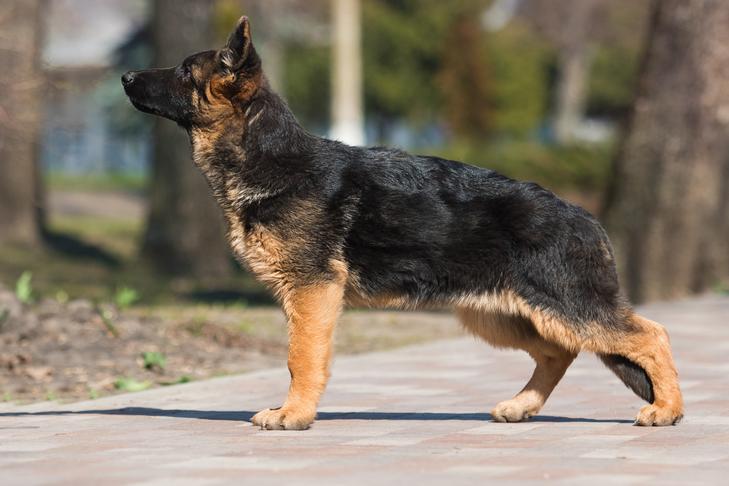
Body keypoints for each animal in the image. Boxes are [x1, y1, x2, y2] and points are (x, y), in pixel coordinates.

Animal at [122, 17, 684, 430]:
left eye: (184, 71)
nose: (125, 77)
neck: (269, 158)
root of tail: (587, 216)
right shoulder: (304, 297)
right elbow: (302, 355)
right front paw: (294, 410)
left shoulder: (311, 292)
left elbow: (301, 357)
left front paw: (294, 414)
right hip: (503, 316)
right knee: (558, 353)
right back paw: (522, 406)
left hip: (568, 307)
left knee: (649, 335)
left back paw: (667, 410)